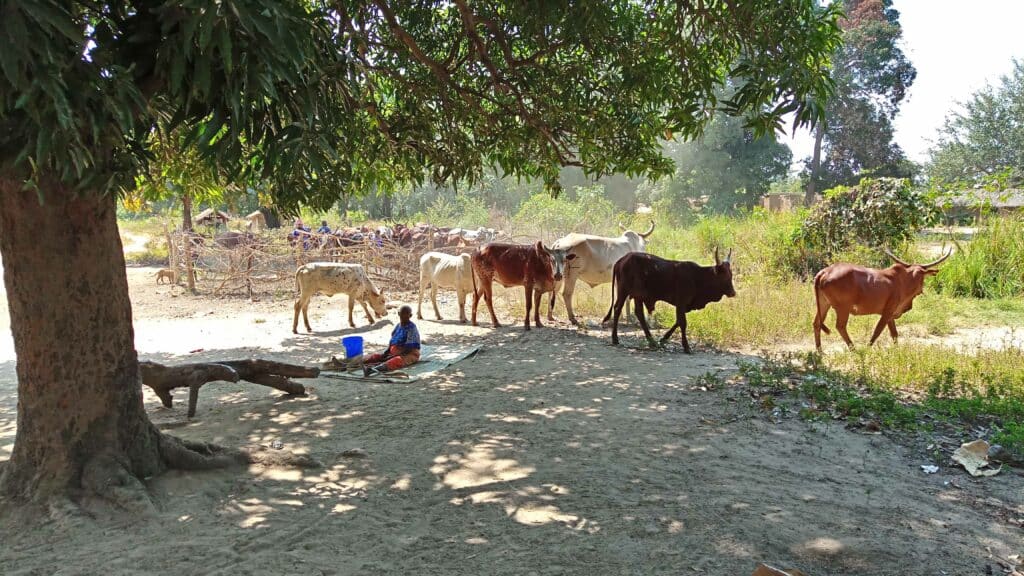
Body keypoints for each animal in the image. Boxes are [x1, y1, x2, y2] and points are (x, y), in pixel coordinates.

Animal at [598, 249, 737, 352]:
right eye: (723, 276)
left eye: (731, 275)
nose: (733, 293)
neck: (698, 277)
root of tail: (622, 259)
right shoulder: (681, 302)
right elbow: (682, 322)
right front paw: (686, 347)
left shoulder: (684, 305)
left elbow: (678, 321)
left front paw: (664, 339)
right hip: (623, 291)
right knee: (617, 309)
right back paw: (615, 339)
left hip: (638, 296)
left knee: (639, 313)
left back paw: (651, 341)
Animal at [815, 248, 950, 350]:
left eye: (921, 276)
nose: (920, 290)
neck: (905, 281)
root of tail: (825, 271)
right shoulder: (887, 312)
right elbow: (877, 331)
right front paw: (868, 349)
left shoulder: (891, 314)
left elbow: (894, 333)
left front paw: (897, 351)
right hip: (843, 308)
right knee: (840, 326)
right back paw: (854, 349)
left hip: (824, 304)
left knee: (816, 323)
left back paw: (819, 351)